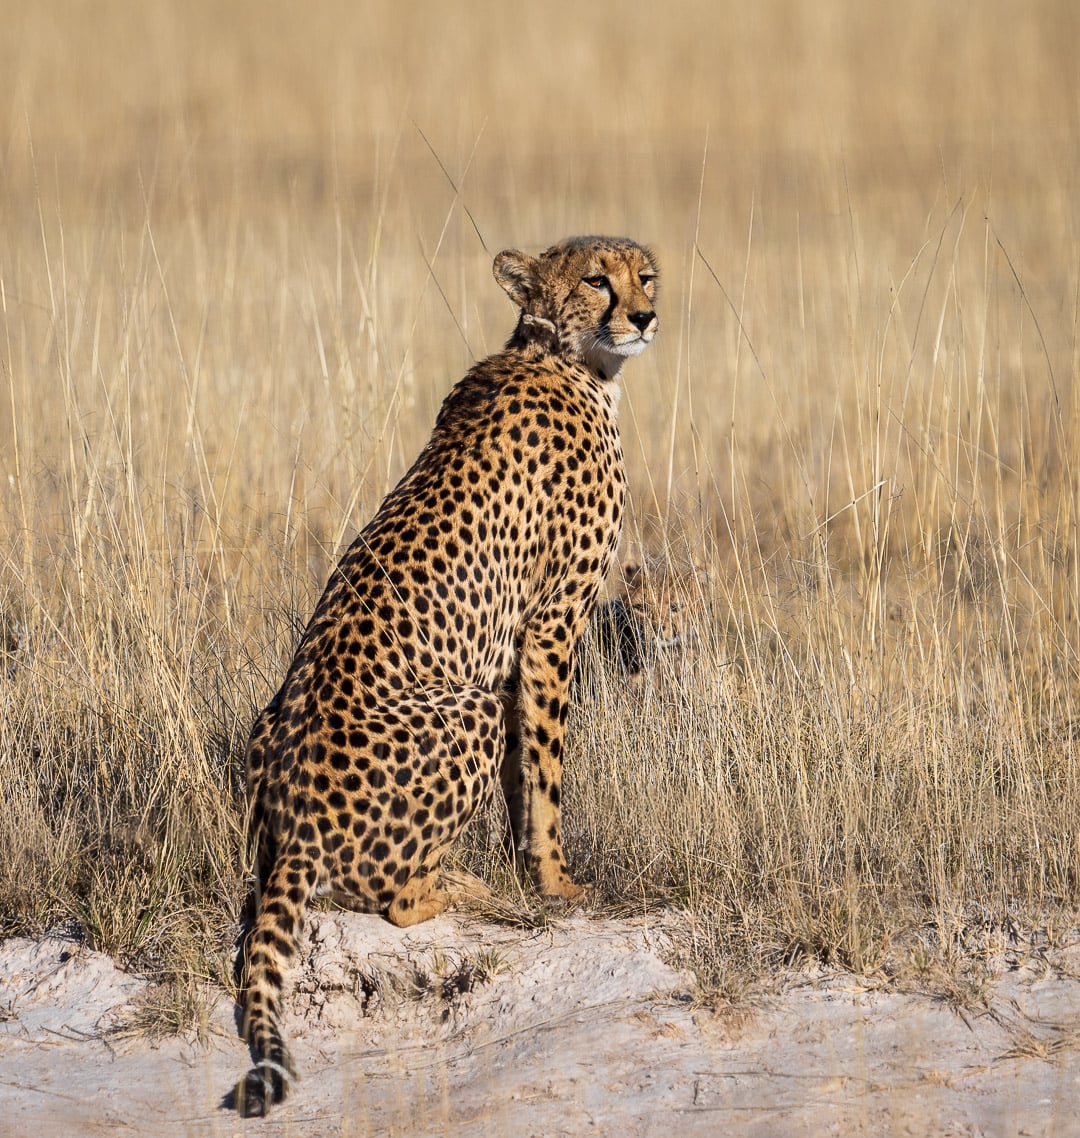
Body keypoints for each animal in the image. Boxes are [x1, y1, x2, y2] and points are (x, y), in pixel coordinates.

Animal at [234, 235, 658, 1115]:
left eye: (645, 274)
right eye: (596, 279)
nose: (645, 315)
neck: (569, 359)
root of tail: (292, 823)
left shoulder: (525, 645)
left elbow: (525, 772)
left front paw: (525, 860)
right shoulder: (553, 621)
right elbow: (549, 768)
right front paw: (556, 883)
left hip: (280, 719)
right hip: (464, 710)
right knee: (393, 900)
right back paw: (466, 889)